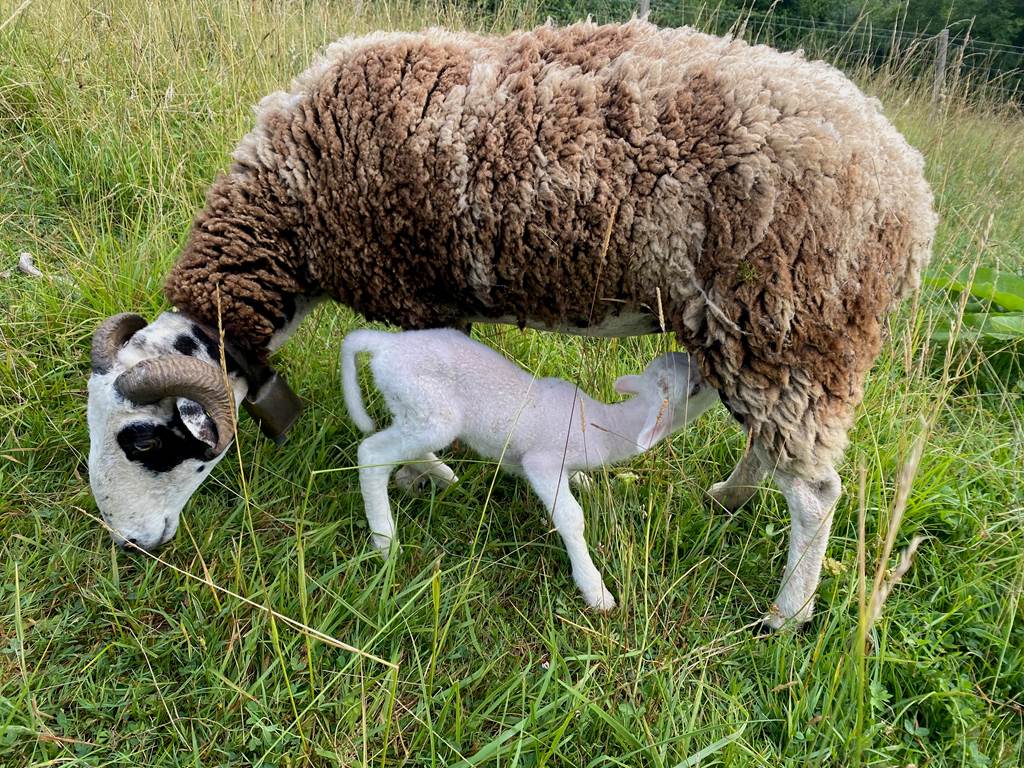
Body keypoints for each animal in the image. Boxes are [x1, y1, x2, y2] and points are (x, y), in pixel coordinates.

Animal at [340, 328, 719, 610]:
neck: (604, 425)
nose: (710, 368)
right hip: (428, 408)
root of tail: (384, 344)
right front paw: (595, 590)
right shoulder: (542, 463)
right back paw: (385, 540)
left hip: (409, 407)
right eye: (695, 388)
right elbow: (570, 517)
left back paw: (441, 475)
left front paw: (585, 482)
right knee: (372, 453)